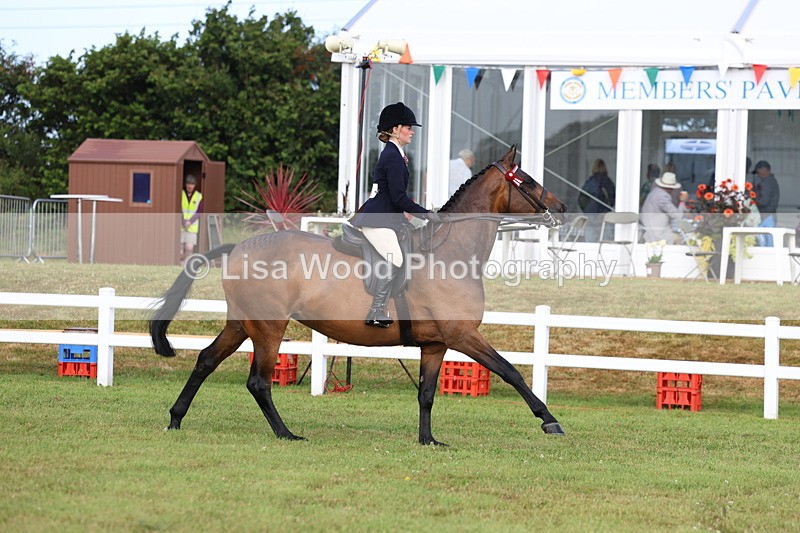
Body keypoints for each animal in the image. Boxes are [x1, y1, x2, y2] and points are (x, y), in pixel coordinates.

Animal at [150, 145, 568, 445]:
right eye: (527, 181)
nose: (562, 207)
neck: (452, 254)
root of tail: (239, 247)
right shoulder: (462, 335)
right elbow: (511, 371)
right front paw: (550, 421)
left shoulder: (435, 344)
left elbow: (427, 393)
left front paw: (428, 439)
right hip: (268, 327)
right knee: (258, 382)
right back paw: (286, 433)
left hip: (242, 323)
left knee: (206, 361)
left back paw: (175, 419)